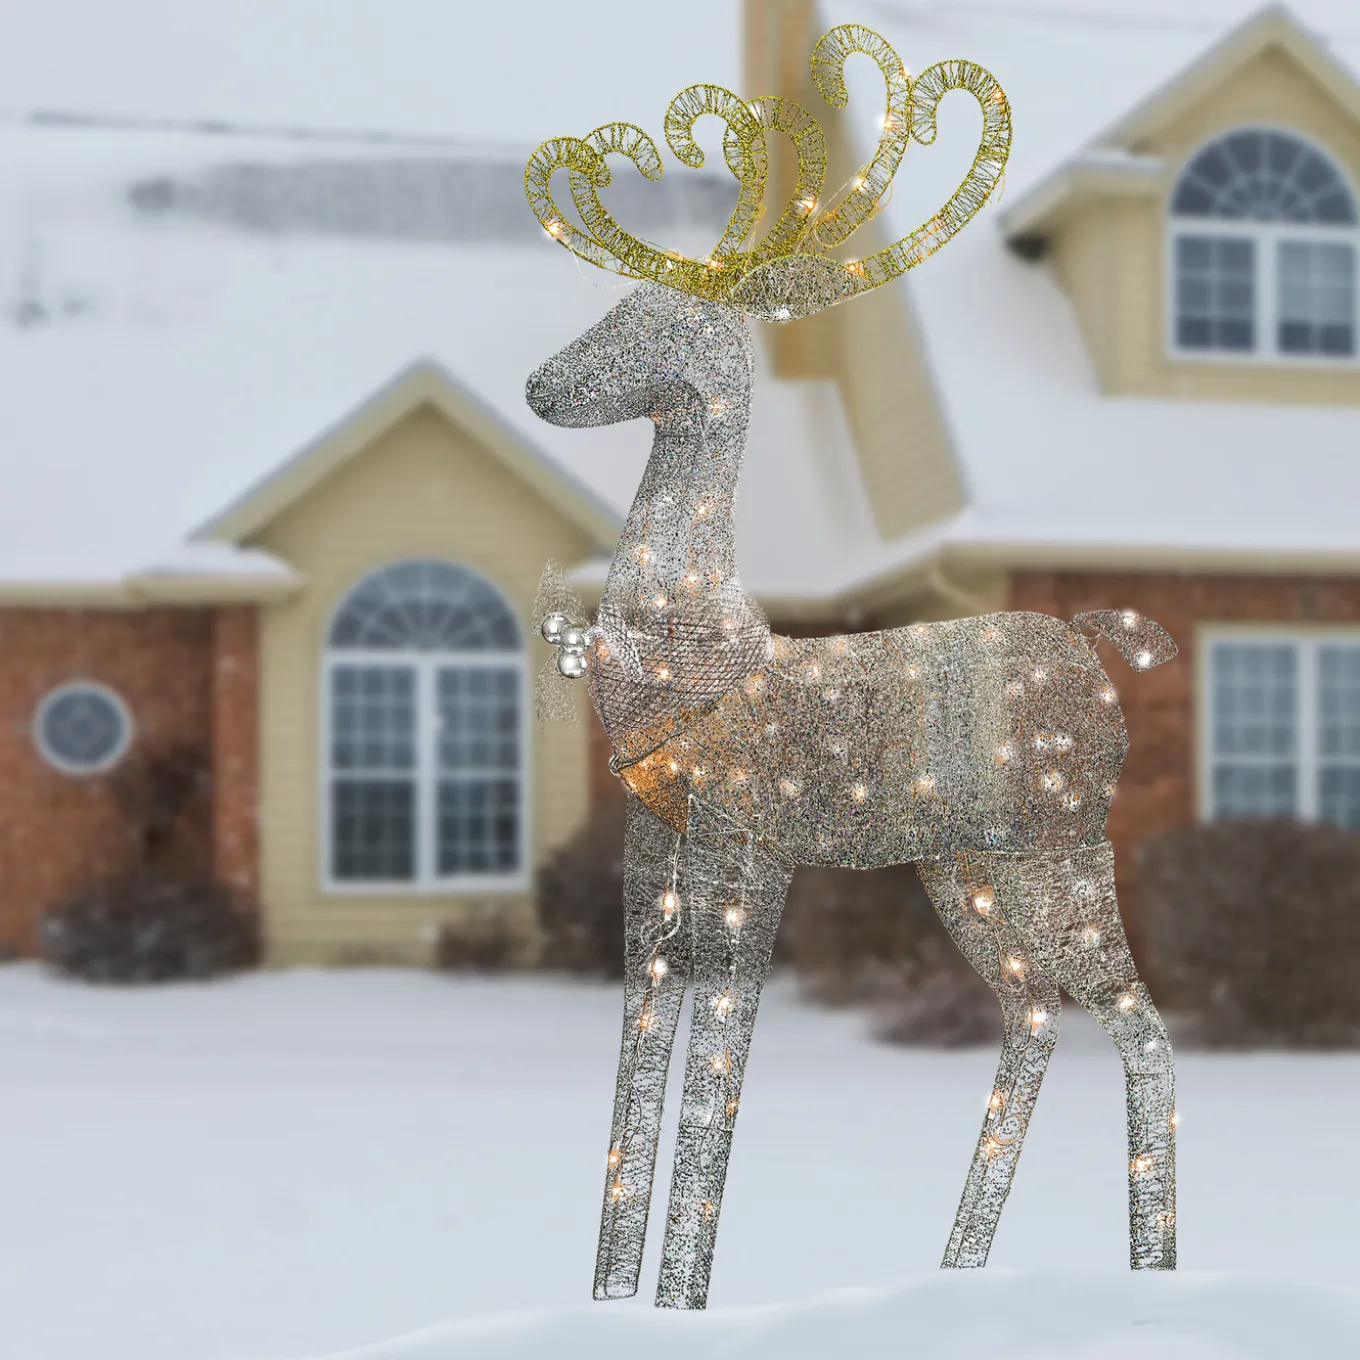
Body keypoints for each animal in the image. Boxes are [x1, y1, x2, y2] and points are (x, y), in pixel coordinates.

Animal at [522, 23, 1177, 1310]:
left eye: (645, 325)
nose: (538, 385)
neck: (691, 651)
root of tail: (1093, 642)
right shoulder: (650, 860)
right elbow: (636, 1073)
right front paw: (612, 1302)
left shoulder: (749, 850)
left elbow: (717, 1075)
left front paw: (683, 1300)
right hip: (965, 866)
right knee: (1036, 1015)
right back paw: (956, 1274)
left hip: (1064, 842)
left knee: (1142, 1027)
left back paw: (1150, 1279)